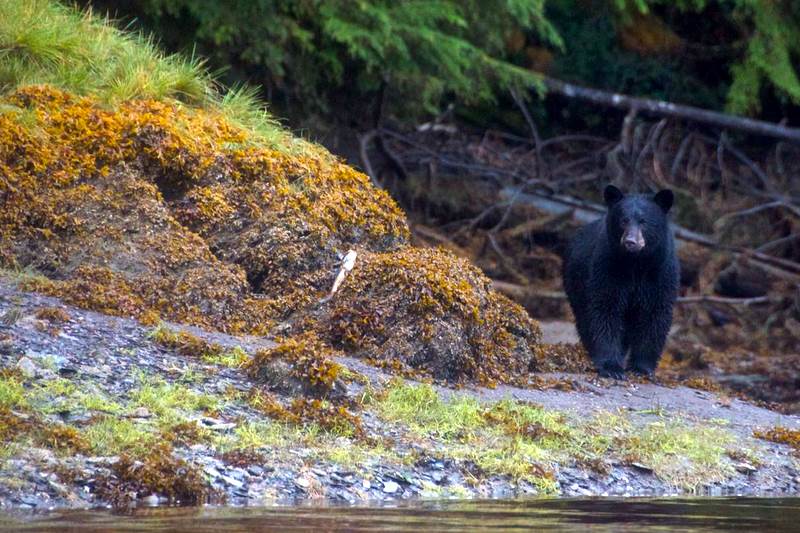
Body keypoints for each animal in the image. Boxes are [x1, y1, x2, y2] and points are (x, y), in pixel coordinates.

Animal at [562, 185, 679, 379]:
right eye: (623, 220)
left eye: (643, 221)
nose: (630, 241)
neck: (635, 264)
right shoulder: (607, 268)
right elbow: (605, 309)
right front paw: (611, 367)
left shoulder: (661, 274)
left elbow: (655, 315)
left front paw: (642, 368)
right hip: (575, 281)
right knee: (584, 318)